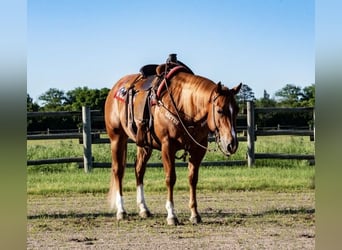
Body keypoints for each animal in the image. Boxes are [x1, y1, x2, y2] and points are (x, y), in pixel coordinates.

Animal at [104, 57, 240, 226]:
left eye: (237, 110)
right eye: (220, 110)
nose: (232, 144)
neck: (185, 106)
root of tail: (116, 89)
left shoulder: (198, 149)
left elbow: (193, 179)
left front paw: (195, 214)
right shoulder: (167, 146)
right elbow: (170, 178)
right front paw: (171, 215)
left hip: (144, 145)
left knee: (139, 170)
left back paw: (143, 209)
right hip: (117, 138)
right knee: (118, 171)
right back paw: (121, 211)